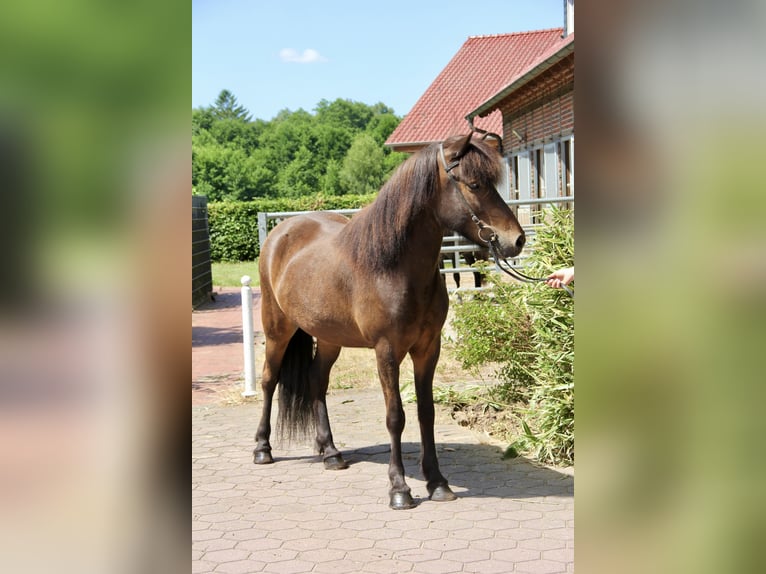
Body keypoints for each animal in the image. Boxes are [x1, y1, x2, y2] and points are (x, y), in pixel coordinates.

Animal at [253, 132, 526, 509]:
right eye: (474, 184)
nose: (516, 240)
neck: (393, 266)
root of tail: (282, 231)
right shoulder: (386, 351)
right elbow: (395, 416)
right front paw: (400, 488)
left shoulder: (428, 349)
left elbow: (426, 412)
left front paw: (437, 482)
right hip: (277, 329)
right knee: (269, 380)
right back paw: (263, 449)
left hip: (330, 338)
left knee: (316, 382)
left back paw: (330, 452)